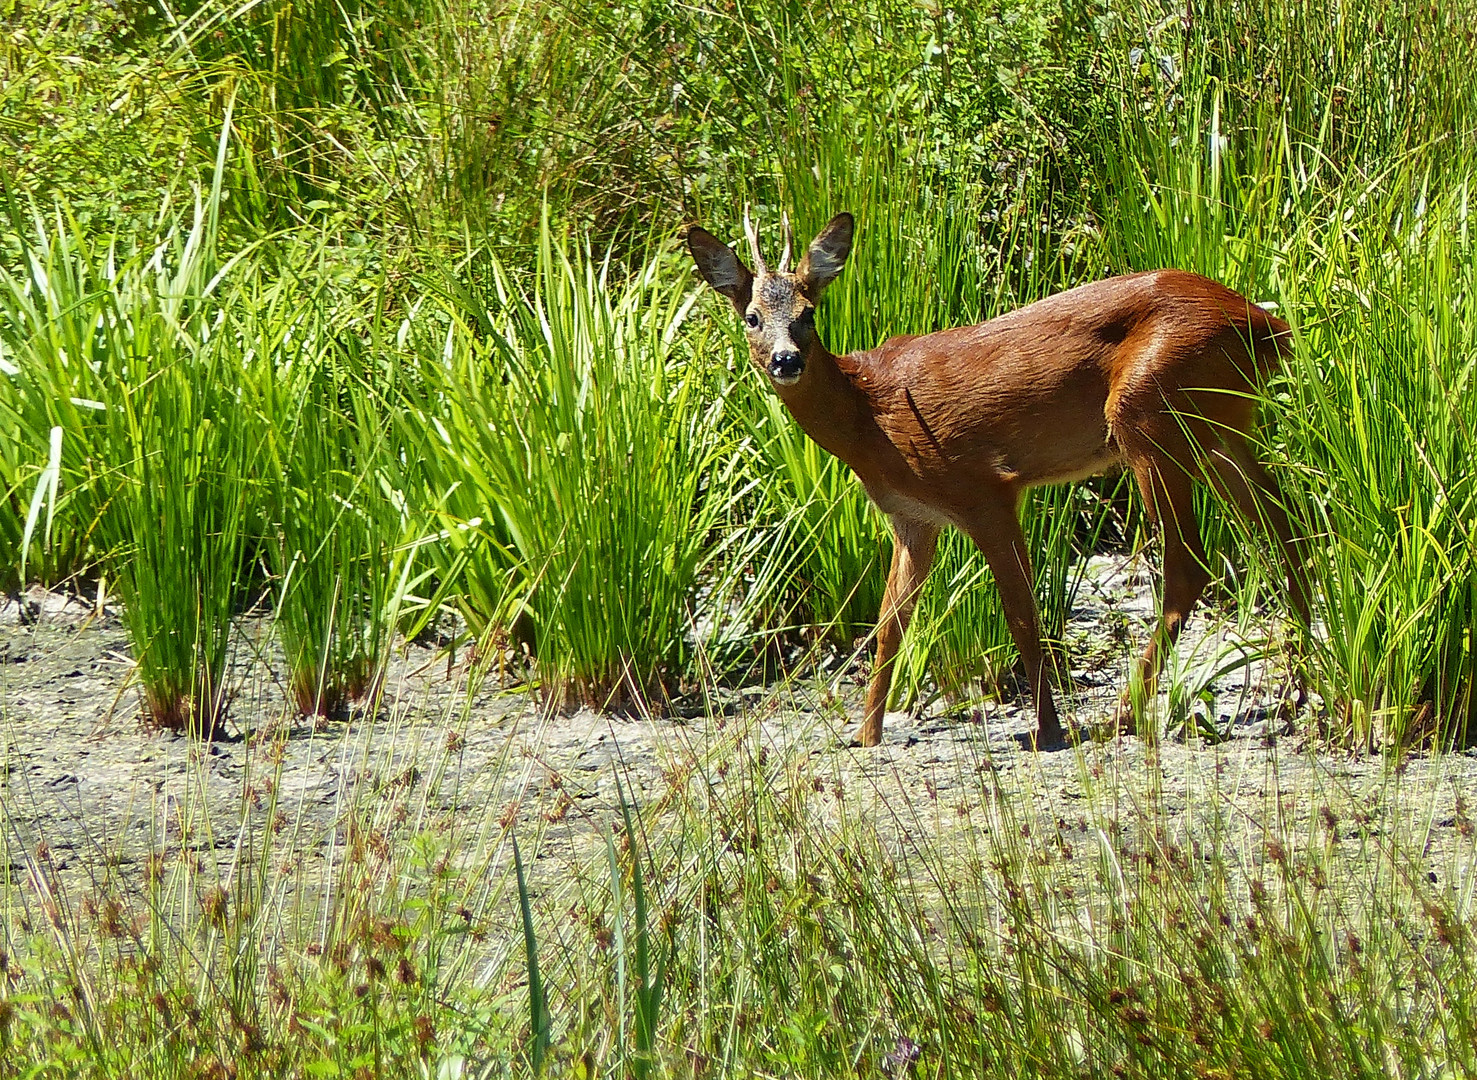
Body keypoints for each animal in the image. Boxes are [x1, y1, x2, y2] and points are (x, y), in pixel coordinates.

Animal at [685, 211, 1311, 750]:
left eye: (808, 313)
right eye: (752, 317)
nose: (786, 361)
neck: (872, 415)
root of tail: (1267, 325)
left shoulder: (984, 488)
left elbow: (1021, 614)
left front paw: (1048, 730)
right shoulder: (913, 518)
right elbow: (891, 625)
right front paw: (865, 734)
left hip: (1148, 409)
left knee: (1191, 563)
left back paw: (1121, 715)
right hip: (1222, 424)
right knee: (1285, 525)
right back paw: (1294, 691)